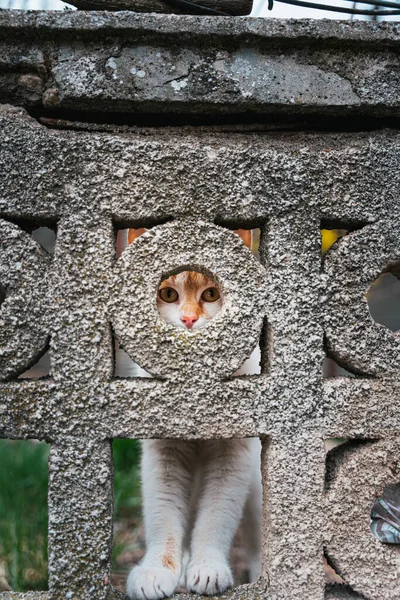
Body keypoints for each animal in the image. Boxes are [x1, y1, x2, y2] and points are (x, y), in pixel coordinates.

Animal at [125, 227, 262, 596]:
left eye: (211, 293)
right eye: (168, 294)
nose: (188, 319)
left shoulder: (234, 457)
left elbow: (216, 517)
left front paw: (208, 569)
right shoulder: (164, 455)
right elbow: (164, 517)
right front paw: (157, 572)